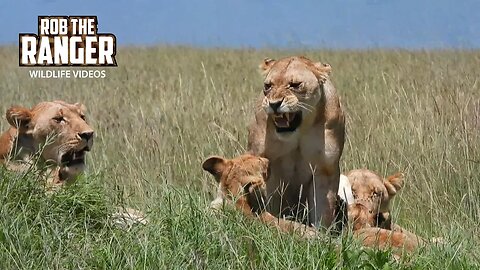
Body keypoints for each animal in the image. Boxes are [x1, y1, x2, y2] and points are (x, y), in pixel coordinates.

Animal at [248, 55, 344, 228]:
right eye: (268, 86)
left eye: (295, 85)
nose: (274, 104)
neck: (298, 131)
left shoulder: (324, 168)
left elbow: (322, 210)